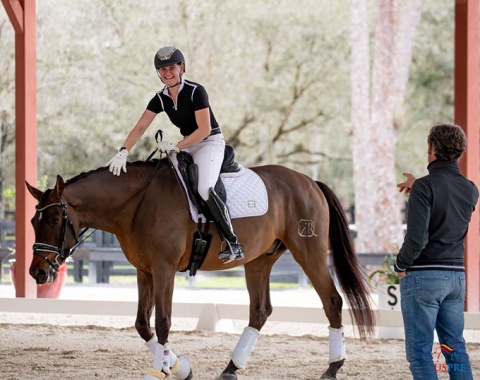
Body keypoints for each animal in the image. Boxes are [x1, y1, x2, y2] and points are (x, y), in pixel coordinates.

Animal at [27, 156, 376, 378]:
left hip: (309, 253)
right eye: (33, 221)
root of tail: (309, 182)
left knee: (332, 301)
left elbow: (163, 322)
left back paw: (333, 367)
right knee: (260, 311)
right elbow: (142, 324)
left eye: (55, 220)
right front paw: (178, 366)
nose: (37, 272)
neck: (136, 203)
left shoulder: (164, 269)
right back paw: (232, 368)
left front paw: (167, 369)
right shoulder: (145, 271)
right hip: (259, 261)